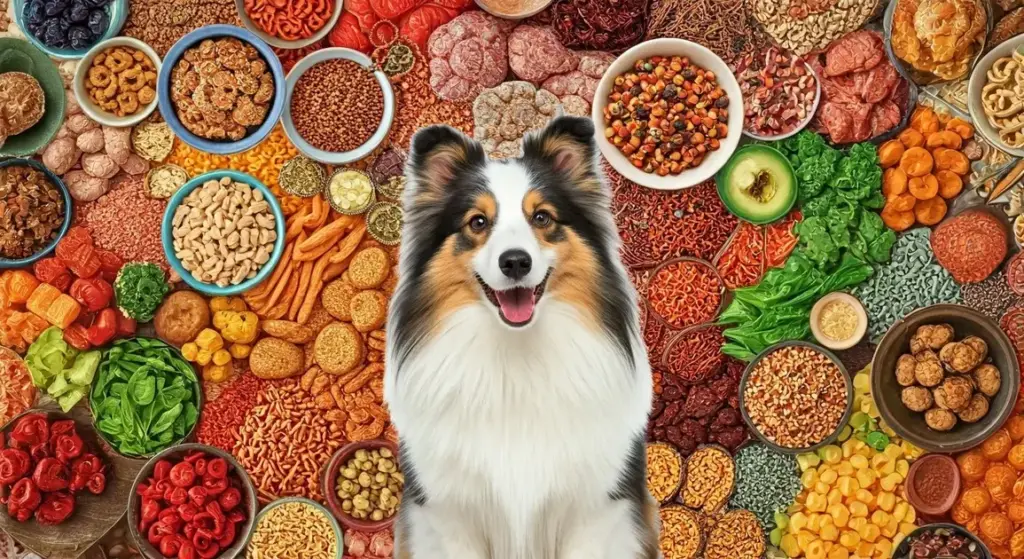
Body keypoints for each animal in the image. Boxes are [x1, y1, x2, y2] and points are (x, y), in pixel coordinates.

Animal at [385, 114, 655, 556]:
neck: (515, 354)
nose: (515, 262)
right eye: (478, 222)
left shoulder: (595, 509)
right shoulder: (450, 514)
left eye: (542, 217)